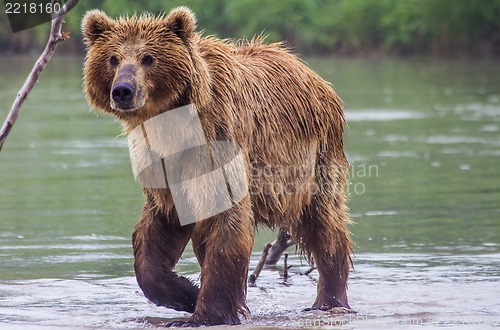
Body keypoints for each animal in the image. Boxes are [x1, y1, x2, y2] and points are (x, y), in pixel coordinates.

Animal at [81, 6, 352, 326]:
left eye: (148, 57)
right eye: (113, 58)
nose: (123, 90)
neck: (172, 125)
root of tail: (312, 74)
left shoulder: (218, 144)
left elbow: (227, 225)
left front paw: (204, 313)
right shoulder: (163, 165)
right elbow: (157, 231)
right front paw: (187, 293)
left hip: (314, 160)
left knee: (324, 224)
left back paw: (329, 299)